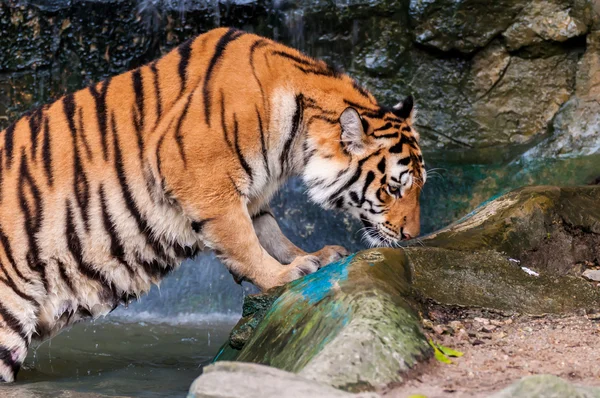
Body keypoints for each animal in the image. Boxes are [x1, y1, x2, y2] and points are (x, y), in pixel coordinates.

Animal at [0, 26, 424, 380]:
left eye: (419, 186)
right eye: (394, 188)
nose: (412, 236)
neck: (296, 140)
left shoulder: (251, 195)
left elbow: (271, 233)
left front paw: (312, 255)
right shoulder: (204, 180)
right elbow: (244, 242)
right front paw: (285, 275)